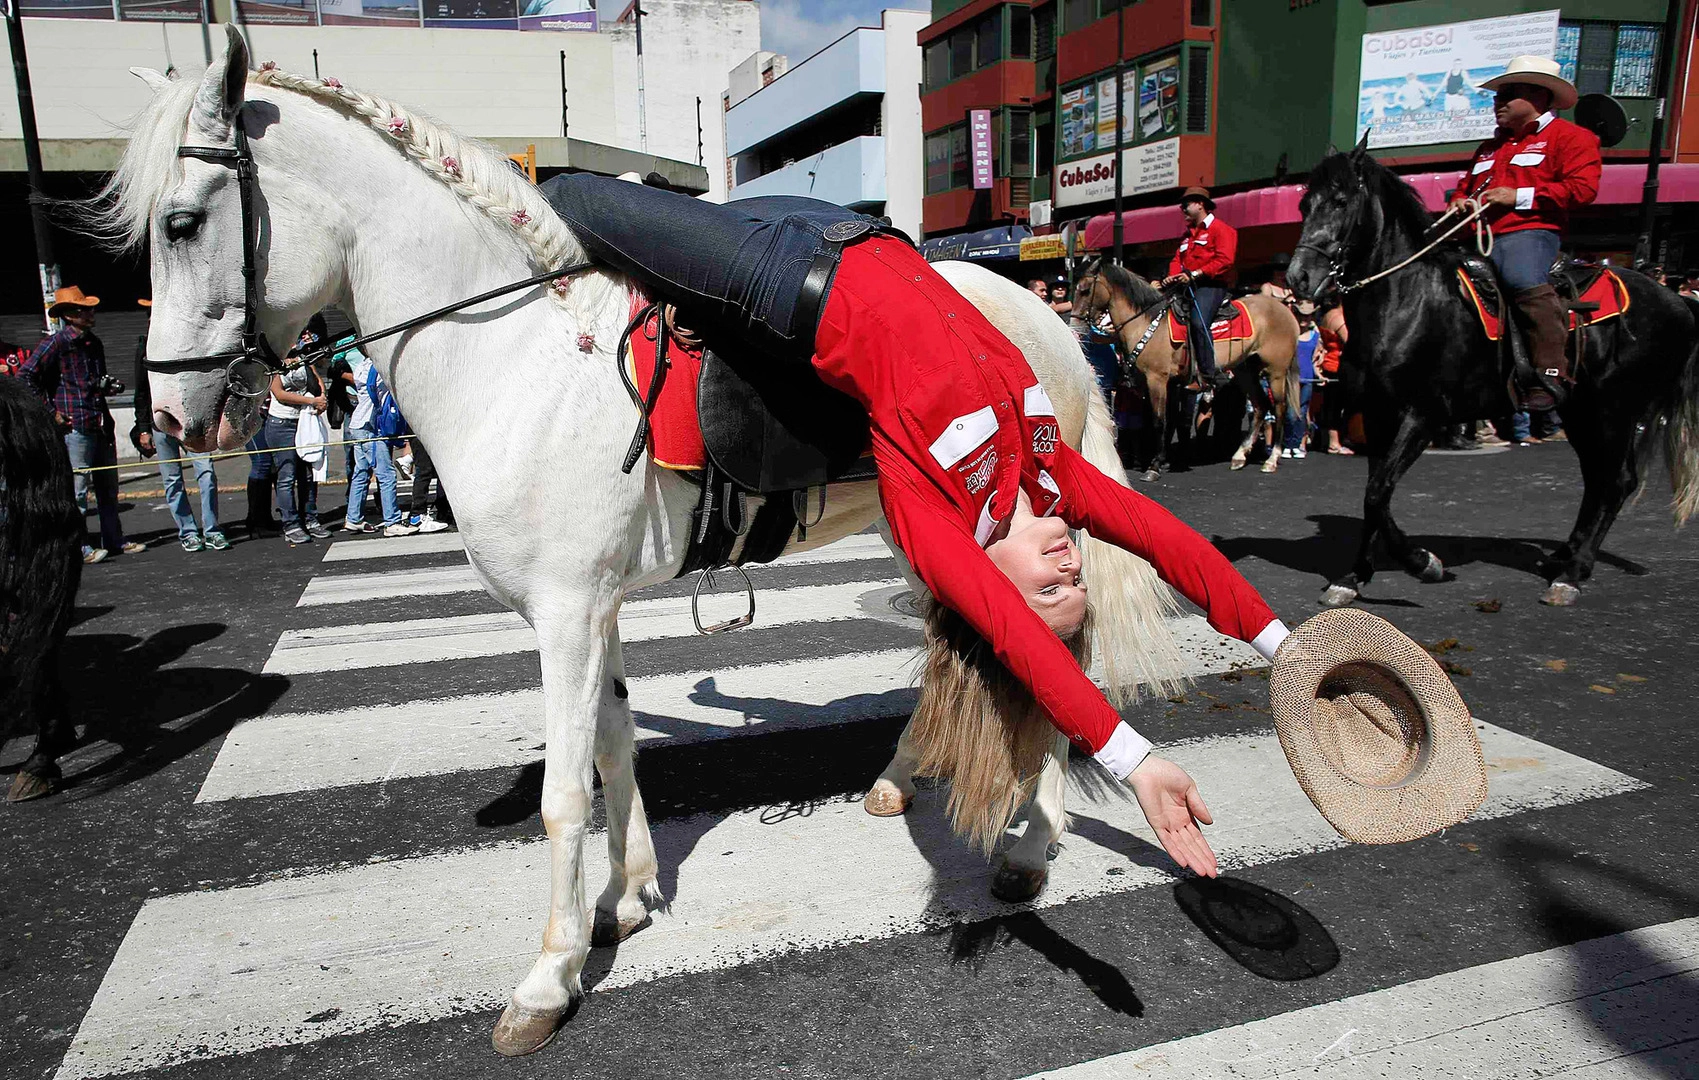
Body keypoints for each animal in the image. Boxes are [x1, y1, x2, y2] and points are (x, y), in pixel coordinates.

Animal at [122, 30, 1184, 1055]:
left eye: (181, 224)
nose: (167, 420)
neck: (516, 358)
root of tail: (1051, 319)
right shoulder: (590, 608)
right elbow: (614, 744)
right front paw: (625, 897)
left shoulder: (562, 613)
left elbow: (563, 793)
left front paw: (547, 979)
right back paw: (898, 782)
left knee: (1042, 655)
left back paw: (1027, 849)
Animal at [1070, 256, 1302, 483]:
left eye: (1085, 290)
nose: (1075, 326)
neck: (1148, 323)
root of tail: (1285, 310)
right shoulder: (1171, 384)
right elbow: (1172, 421)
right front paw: (1165, 460)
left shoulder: (1157, 379)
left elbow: (1159, 421)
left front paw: (1154, 466)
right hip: (1246, 370)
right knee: (1261, 406)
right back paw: (1240, 456)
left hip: (1276, 371)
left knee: (1279, 408)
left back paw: (1272, 459)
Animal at [1286, 138, 1699, 607]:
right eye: (1304, 204)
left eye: (1340, 201)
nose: (1299, 278)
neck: (1406, 300)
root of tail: (1678, 302)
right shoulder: (1377, 414)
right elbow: (1377, 494)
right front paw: (1358, 575)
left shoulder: (1422, 415)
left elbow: (1377, 493)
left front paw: (1420, 564)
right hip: (1581, 410)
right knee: (1598, 481)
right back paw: (1564, 556)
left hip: (1614, 410)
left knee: (1616, 482)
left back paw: (1573, 572)